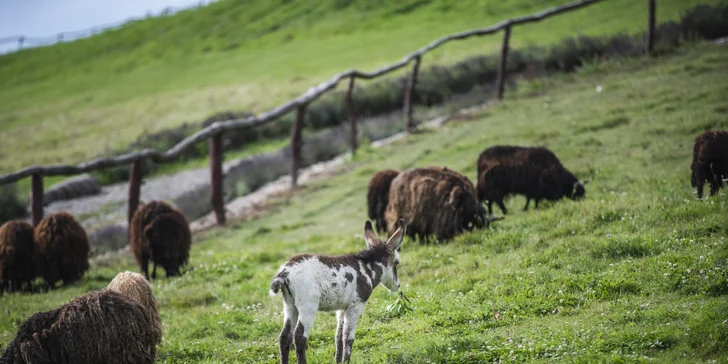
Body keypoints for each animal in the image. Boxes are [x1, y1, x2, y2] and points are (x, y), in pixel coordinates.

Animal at [270, 219, 406, 364]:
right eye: (396, 263)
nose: (397, 285)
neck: (365, 269)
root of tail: (286, 271)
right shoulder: (355, 306)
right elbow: (348, 338)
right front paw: (346, 361)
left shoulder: (341, 309)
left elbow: (338, 338)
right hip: (308, 306)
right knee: (300, 337)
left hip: (290, 305)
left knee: (284, 337)